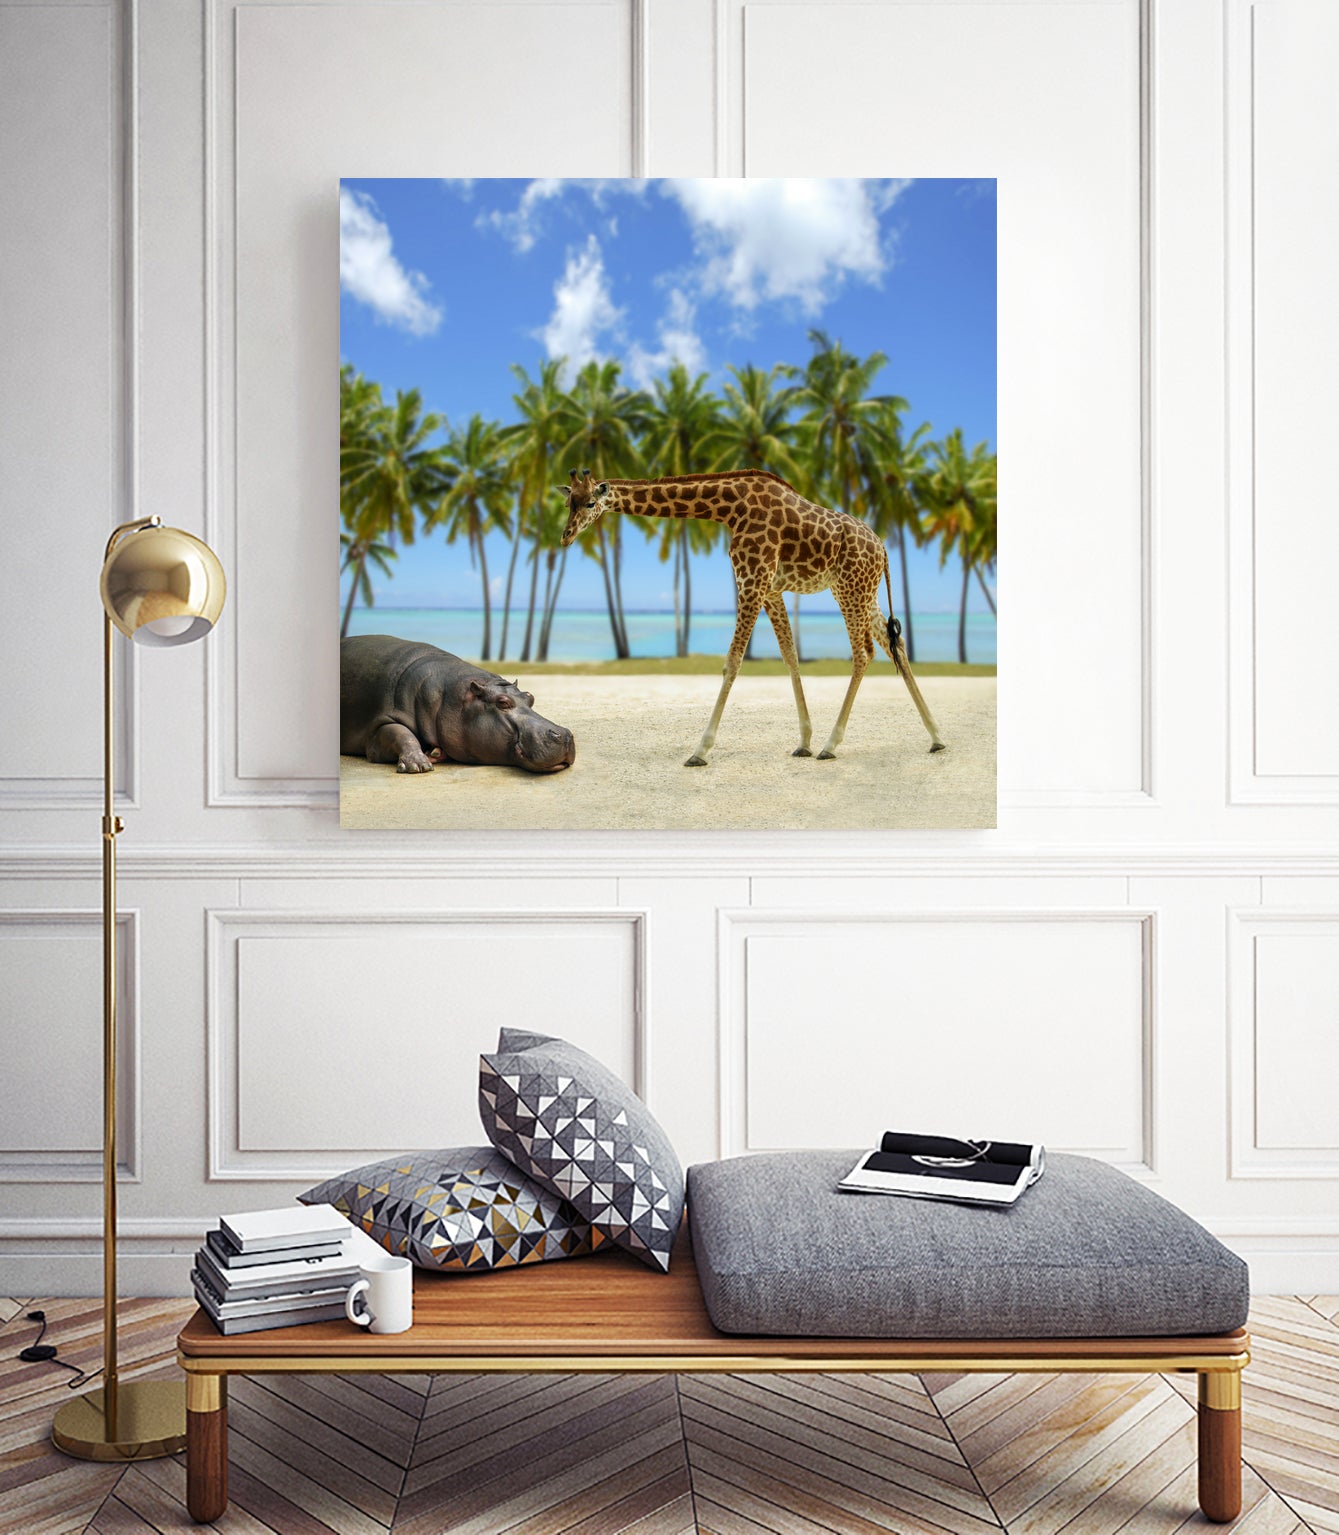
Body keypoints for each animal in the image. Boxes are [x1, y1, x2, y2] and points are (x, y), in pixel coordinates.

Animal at [340, 635, 575, 775]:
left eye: (530, 697)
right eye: (502, 702)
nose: (564, 735)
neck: (451, 696)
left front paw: (434, 753)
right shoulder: (379, 724)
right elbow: (400, 733)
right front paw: (419, 764)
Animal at [557, 468, 946, 767]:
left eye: (590, 503)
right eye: (567, 502)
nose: (566, 536)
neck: (729, 508)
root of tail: (883, 549)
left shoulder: (752, 580)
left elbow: (733, 661)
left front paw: (700, 750)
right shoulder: (770, 588)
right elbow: (790, 656)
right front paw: (803, 740)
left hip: (852, 588)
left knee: (864, 651)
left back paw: (832, 745)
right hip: (859, 590)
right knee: (896, 642)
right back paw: (937, 737)